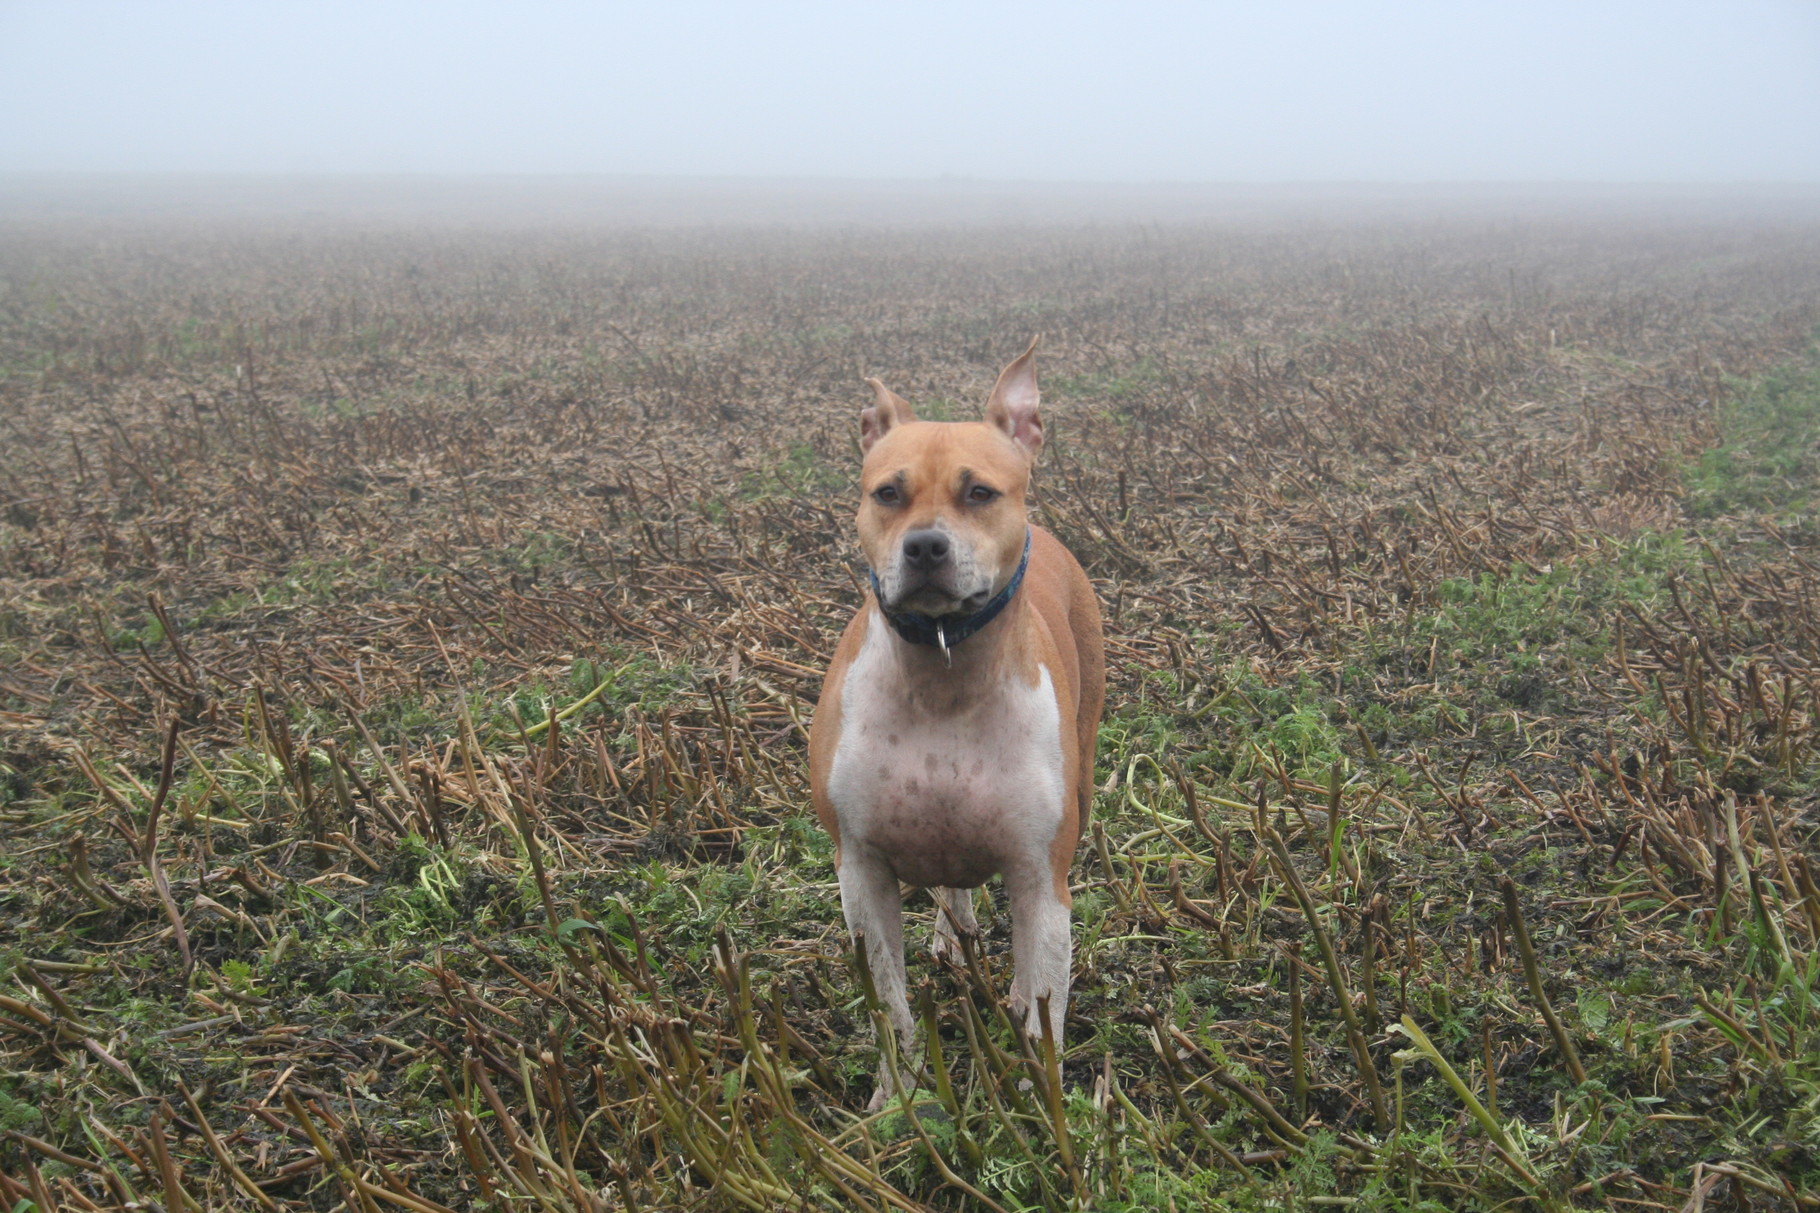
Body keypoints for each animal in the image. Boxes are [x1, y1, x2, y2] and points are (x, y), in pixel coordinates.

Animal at [815, 336, 1106, 1107]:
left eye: (980, 492)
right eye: (887, 492)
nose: (925, 546)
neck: (944, 672)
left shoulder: (1040, 876)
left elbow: (1044, 1005)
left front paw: (1043, 1104)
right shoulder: (862, 872)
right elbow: (890, 1006)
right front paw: (897, 1103)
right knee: (953, 888)